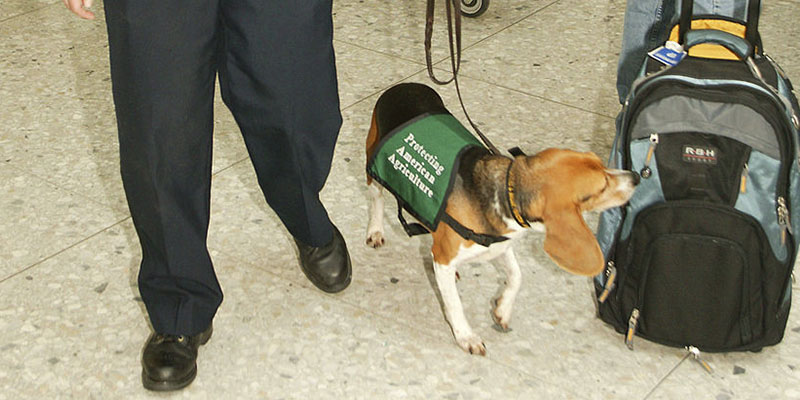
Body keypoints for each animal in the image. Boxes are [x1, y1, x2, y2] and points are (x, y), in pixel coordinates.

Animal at [368, 83, 636, 354]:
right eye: (601, 187)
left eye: (599, 161)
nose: (635, 176)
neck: (508, 191)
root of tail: (404, 86)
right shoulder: (451, 255)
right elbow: (455, 304)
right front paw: (466, 336)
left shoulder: (500, 243)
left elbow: (517, 276)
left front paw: (503, 310)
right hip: (373, 168)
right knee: (377, 199)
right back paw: (375, 231)